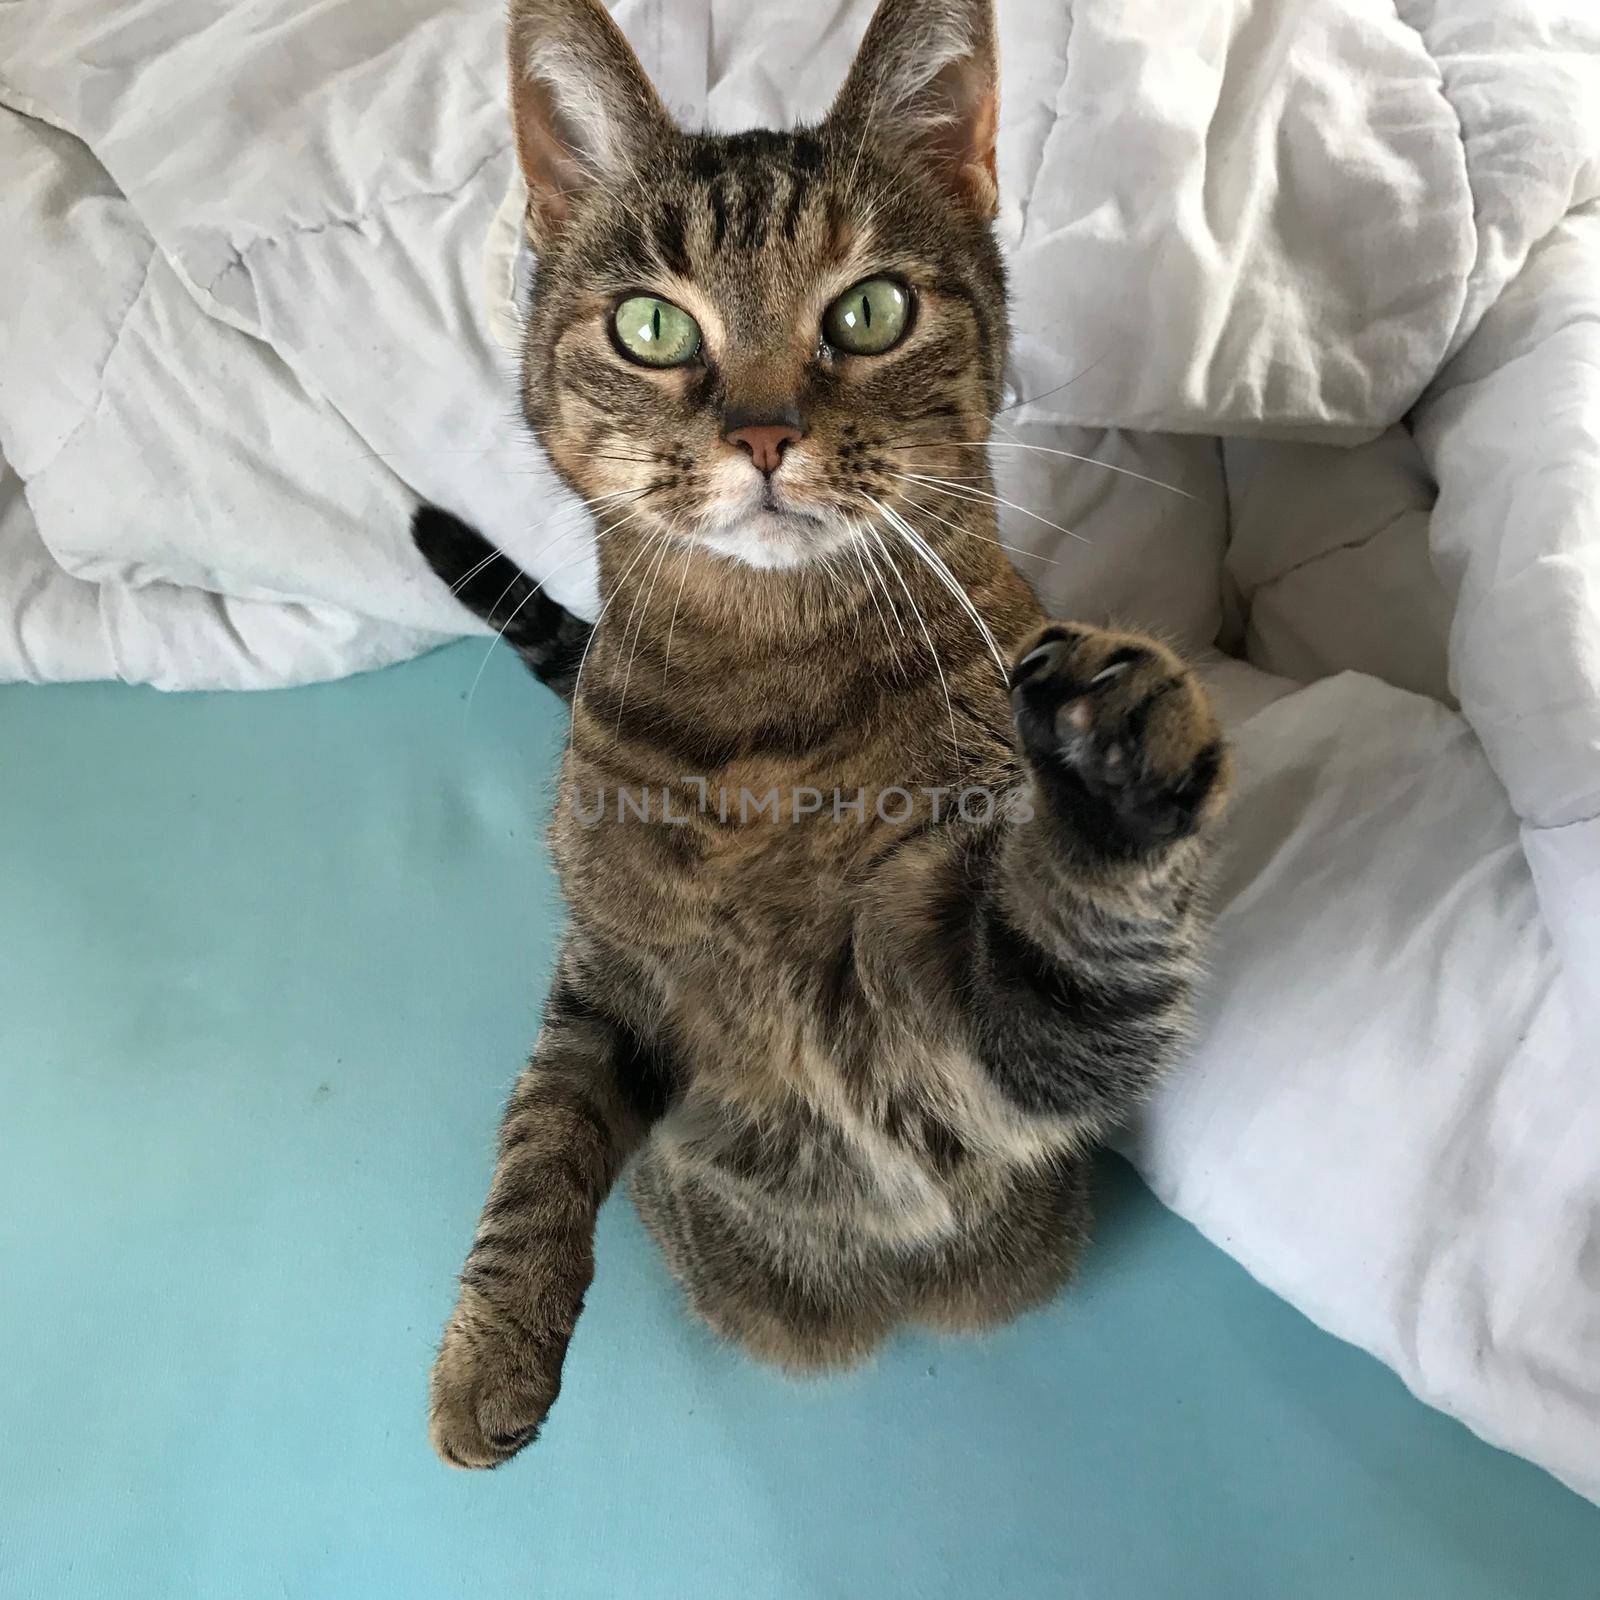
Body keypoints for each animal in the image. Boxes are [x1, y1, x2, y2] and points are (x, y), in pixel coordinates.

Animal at [409, 0, 1222, 1465]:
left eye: (870, 308)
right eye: (653, 325)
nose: (764, 434)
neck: (765, 693)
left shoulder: (957, 1036)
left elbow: (1062, 951)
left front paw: (1107, 768)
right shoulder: (609, 971)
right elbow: (541, 1129)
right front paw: (490, 1343)